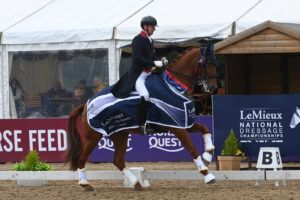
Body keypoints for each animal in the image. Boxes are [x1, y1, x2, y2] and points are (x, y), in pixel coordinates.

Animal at [67, 45, 219, 191]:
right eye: (208, 63)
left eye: (215, 63)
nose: (213, 87)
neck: (173, 86)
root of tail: (86, 104)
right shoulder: (177, 127)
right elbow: (192, 149)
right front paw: (207, 174)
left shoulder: (183, 122)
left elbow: (205, 129)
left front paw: (208, 155)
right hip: (93, 136)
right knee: (82, 158)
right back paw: (85, 184)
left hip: (120, 135)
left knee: (118, 160)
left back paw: (136, 183)